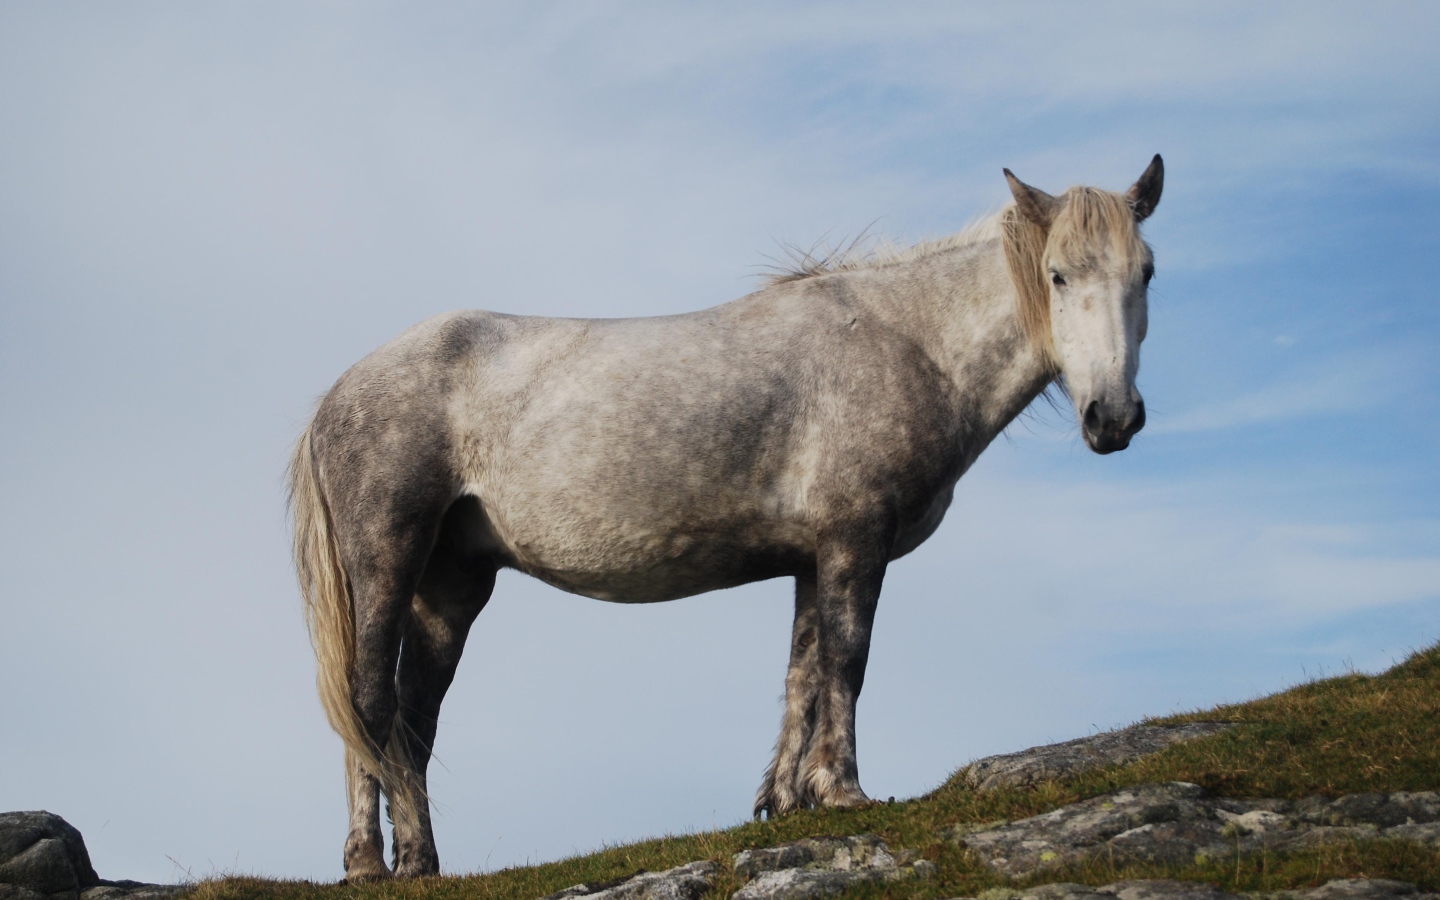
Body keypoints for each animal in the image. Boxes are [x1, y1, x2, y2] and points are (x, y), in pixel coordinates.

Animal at [290, 157, 1164, 880]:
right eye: (1056, 275)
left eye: (1147, 273)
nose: (1113, 417)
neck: (906, 340)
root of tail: (339, 393)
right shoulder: (855, 542)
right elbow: (847, 662)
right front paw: (844, 790)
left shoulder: (814, 557)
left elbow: (802, 675)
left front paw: (787, 800)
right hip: (386, 561)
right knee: (369, 703)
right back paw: (375, 862)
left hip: (452, 585)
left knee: (413, 718)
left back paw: (412, 862)